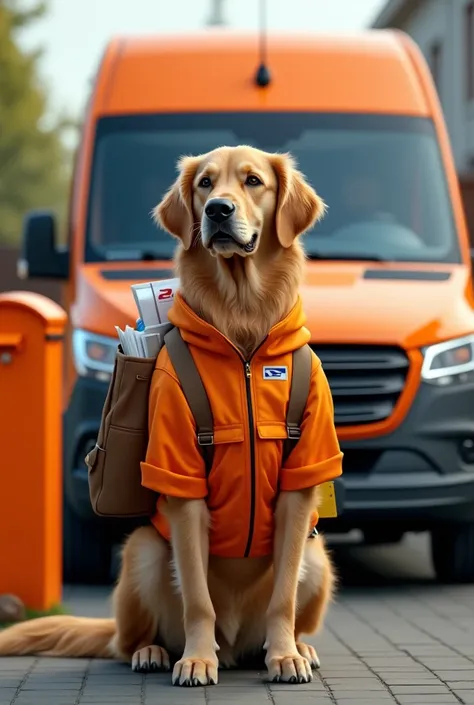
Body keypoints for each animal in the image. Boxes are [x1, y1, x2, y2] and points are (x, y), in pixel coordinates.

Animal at [0, 144, 336, 688]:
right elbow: (198, 598)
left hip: (317, 554)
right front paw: (196, 659)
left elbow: (282, 596)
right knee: (127, 639)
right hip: (143, 550)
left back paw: (296, 647)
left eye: (253, 181)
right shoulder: (182, 484)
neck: (242, 330)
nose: (218, 211)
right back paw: (156, 651)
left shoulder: (300, 483)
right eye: (205, 183)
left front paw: (285, 655)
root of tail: (236, 644)